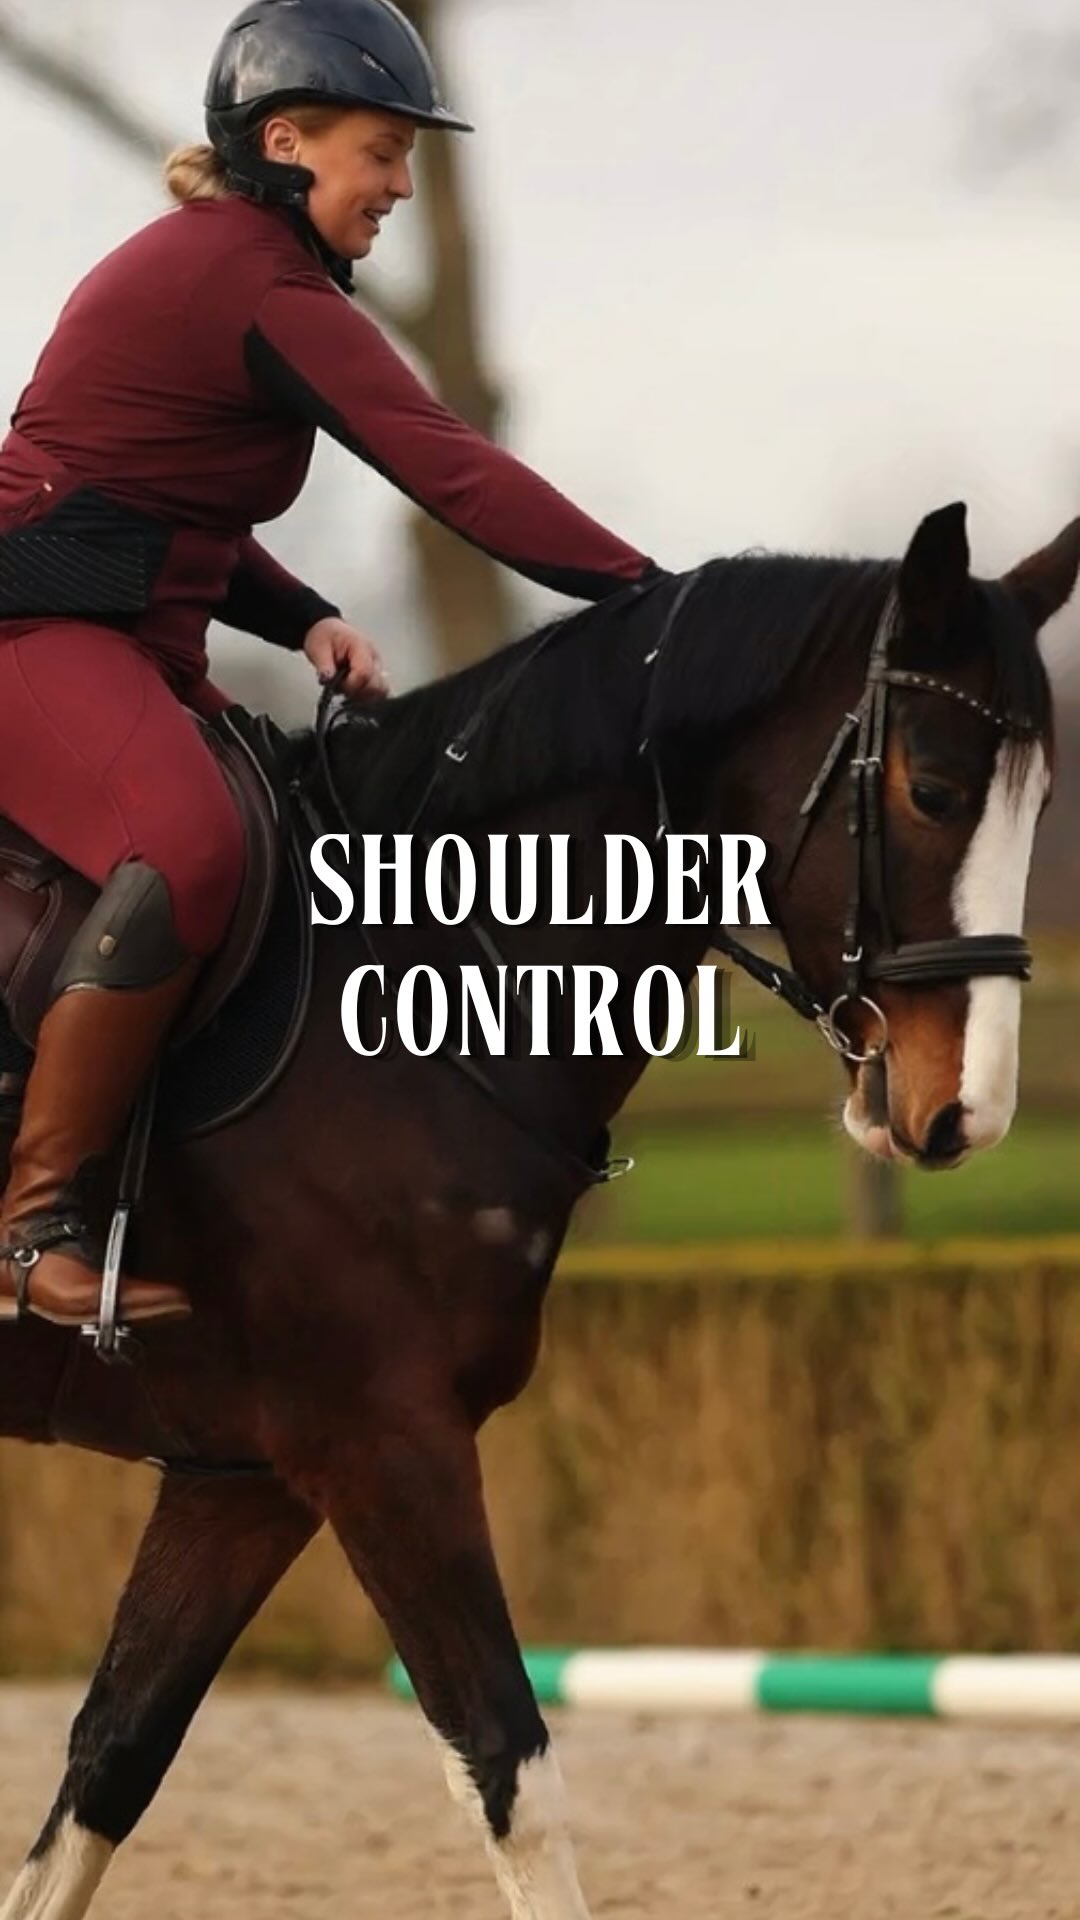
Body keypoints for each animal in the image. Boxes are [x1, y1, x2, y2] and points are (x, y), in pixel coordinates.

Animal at [0, 501, 1075, 1920]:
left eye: (1041, 803)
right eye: (935, 792)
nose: (967, 1115)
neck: (410, 975)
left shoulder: (246, 1477)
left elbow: (108, 1765)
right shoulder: (385, 1444)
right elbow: (510, 1768)